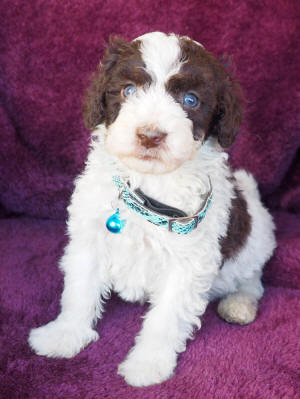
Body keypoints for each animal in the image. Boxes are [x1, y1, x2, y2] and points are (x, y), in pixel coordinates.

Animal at [28, 31, 276, 388]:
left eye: (190, 100)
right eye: (128, 90)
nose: (150, 136)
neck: (150, 186)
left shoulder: (189, 262)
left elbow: (166, 318)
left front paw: (148, 364)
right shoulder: (90, 237)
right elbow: (79, 291)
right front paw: (64, 334)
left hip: (254, 242)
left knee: (251, 278)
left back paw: (239, 304)